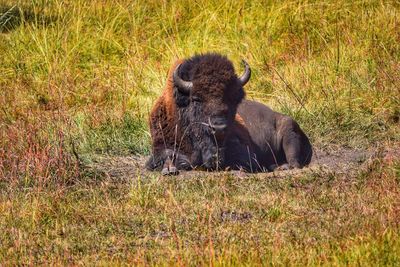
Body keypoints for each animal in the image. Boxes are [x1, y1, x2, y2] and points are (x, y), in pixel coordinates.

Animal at [146, 53, 312, 175]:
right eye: (196, 99)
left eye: (231, 98)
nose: (218, 128)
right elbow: (166, 155)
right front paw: (169, 169)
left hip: (289, 130)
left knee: (294, 161)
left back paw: (281, 167)